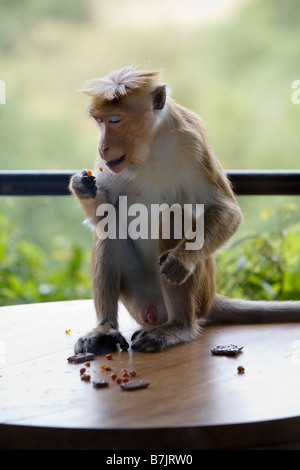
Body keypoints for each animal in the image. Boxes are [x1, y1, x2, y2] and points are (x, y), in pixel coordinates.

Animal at [69, 66, 300, 352]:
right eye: (99, 121)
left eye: (114, 119)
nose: (103, 146)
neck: (150, 147)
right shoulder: (109, 164)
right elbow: (102, 215)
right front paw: (80, 185)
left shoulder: (192, 141)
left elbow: (227, 211)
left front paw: (182, 259)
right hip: (136, 296)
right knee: (109, 224)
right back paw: (105, 329)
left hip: (197, 295)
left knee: (173, 216)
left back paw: (179, 327)